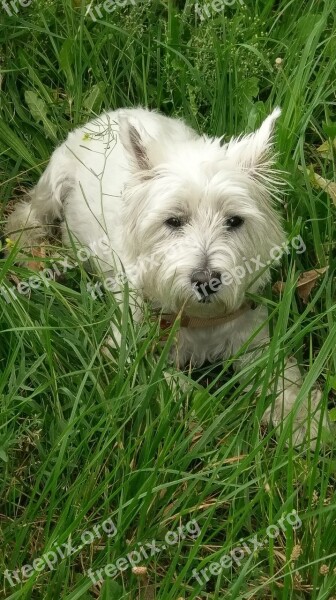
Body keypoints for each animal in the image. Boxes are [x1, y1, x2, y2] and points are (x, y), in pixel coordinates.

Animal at [5, 106, 330, 446]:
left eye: (234, 220)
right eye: (173, 221)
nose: (206, 281)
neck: (199, 319)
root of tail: (115, 112)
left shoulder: (253, 340)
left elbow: (282, 378)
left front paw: (306, 421)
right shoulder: (126, 348)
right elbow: (163, 382)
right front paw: (209, 415)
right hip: (55, 181)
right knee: (30, 210)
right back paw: (26, 247)